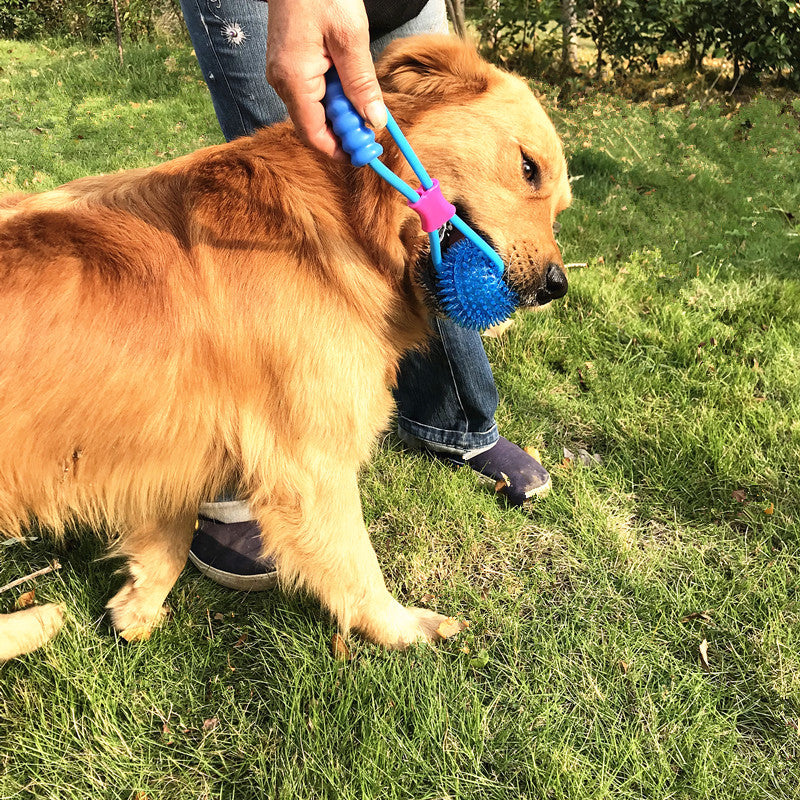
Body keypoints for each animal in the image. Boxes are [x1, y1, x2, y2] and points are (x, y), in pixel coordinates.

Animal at [0, 32, 568, 664]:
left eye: (562, 208)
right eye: (528, 168)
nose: (556, 286)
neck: (341, 220)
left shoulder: (166, 438)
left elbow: (169, 534)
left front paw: (137, 605)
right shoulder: (309, 462)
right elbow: (356, 566)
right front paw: (403, 628)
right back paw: (37, 621)